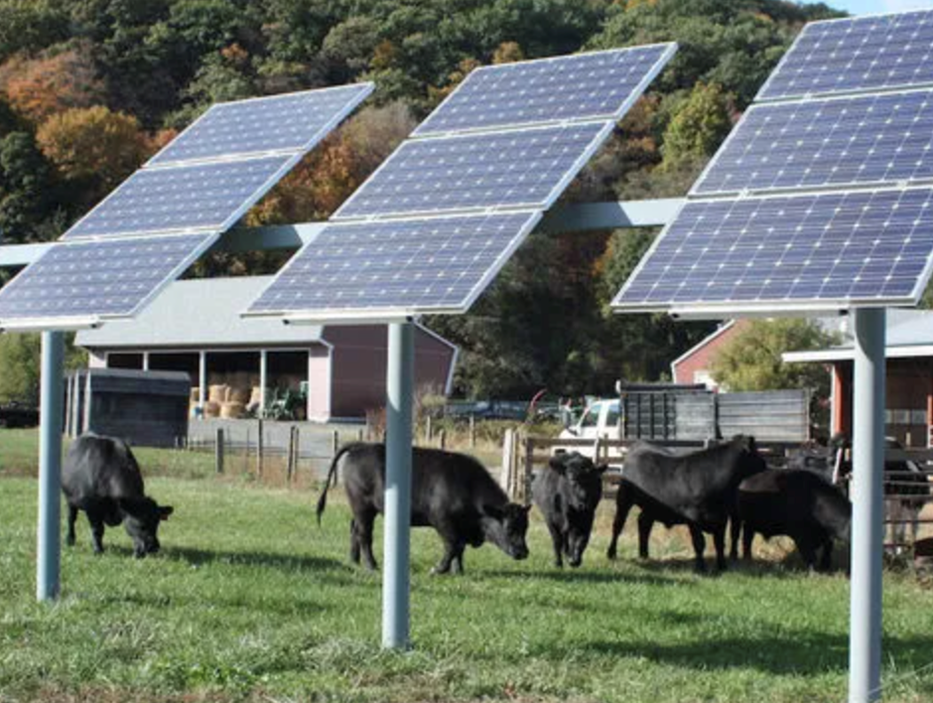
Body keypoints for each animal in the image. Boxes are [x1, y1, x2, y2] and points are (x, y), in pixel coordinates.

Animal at [62, 432, 173, 560]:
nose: (154, 547)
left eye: (157, 523)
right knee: (71, 519)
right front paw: (98, 550)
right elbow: (97, 530)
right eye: (141, 524)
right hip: (69, 500)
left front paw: (137, 553)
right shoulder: (92, 508)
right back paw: (70, 540)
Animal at [316, 442, 528, 576]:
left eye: (525, 528)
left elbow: (460, 549)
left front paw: (458, 571)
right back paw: (371, 565)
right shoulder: (442, 521)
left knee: (354, 529)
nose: (524, 553)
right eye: (510, 528)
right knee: (364, 535)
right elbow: (454, 545)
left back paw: (354, 560)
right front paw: (439, 569)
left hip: (361, 509)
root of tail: (360, 446)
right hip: (363, 507)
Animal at [604, 438, 764, 576]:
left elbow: (719, 543)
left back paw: (644, 554)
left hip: (651, 506)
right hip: (624, 498)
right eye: (757, 453)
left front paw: (722, 567)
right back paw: (611, 553)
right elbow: (699, 543)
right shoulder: (693, 517)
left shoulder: (722, 517)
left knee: (644, 523)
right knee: (618, 525)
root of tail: (640, 443)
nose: (766, 465)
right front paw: (701, 568)